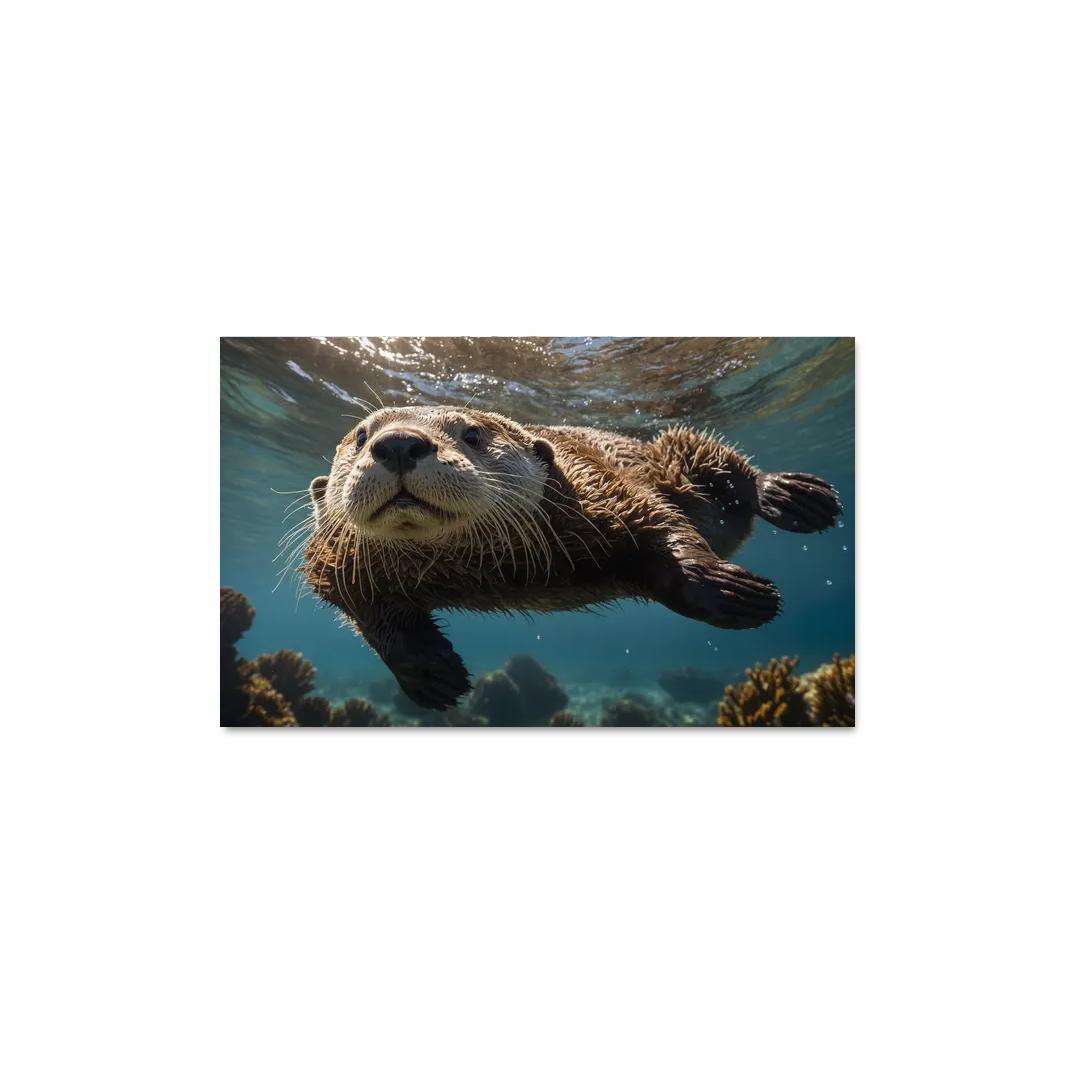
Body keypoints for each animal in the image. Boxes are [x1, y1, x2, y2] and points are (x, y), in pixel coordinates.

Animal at [303, 406, 841, 710]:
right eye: (360, 435)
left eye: (473, 434)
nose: (397, 442)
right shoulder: (337, 563)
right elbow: (369, 611)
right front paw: (432, 675)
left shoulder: (604, 490)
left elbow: (663, 526)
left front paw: (736, 594)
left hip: (673, 451)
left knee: (722, 463)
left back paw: (795, 496)